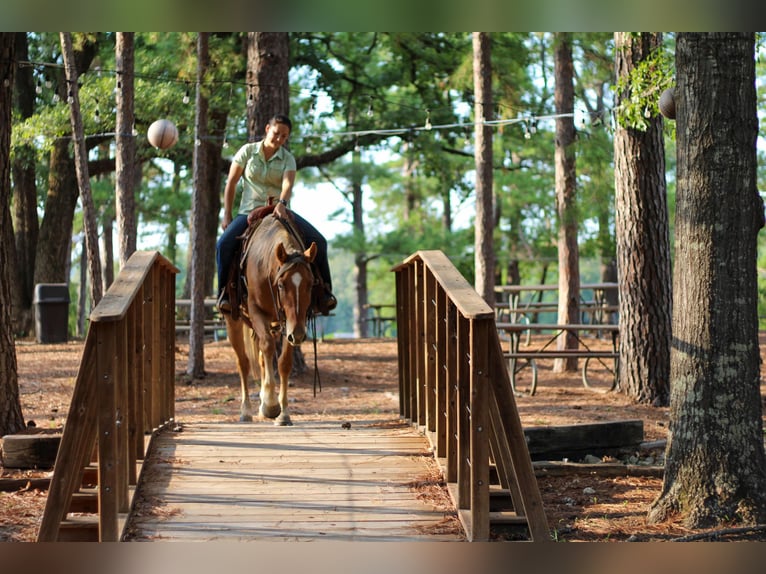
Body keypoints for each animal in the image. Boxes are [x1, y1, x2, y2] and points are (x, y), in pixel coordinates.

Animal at [224, 215, 316, 428]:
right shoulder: (257, 312)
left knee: (261, 359)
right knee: (243, 363)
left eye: (310, 285)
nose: (299, 334)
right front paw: (271, 405)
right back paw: (246, 411)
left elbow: (284, 362)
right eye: (281, 285)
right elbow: (266, 347)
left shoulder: (290, 325)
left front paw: (283, 413)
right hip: (233, 320)